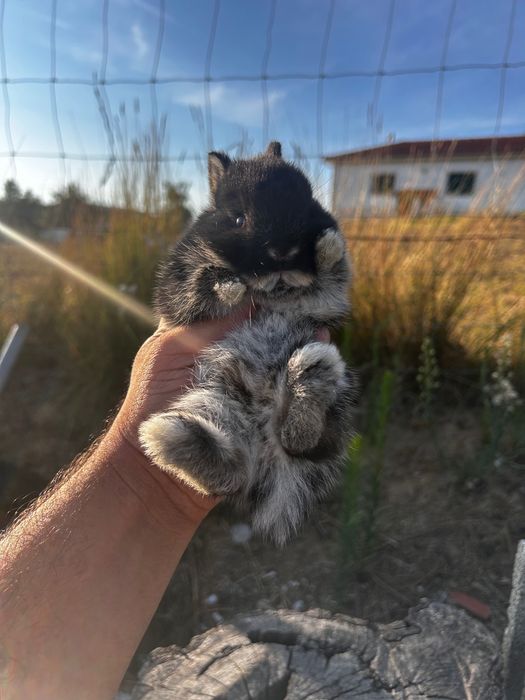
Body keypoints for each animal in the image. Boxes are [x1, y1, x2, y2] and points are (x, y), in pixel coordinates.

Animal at [139, 142, 356, 545]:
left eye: (310, 203)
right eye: (238, 219)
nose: (284, 251)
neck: (274, 290)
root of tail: (265, 445)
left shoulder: (323, 300)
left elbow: (332, 273)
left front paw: (329, 245)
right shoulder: (177, 296)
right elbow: (195, 285)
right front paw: (228, 285)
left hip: (340, 397)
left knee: (303, 443)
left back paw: (309, 375)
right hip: (217, 396)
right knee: (233, 469)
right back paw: (172, 438)